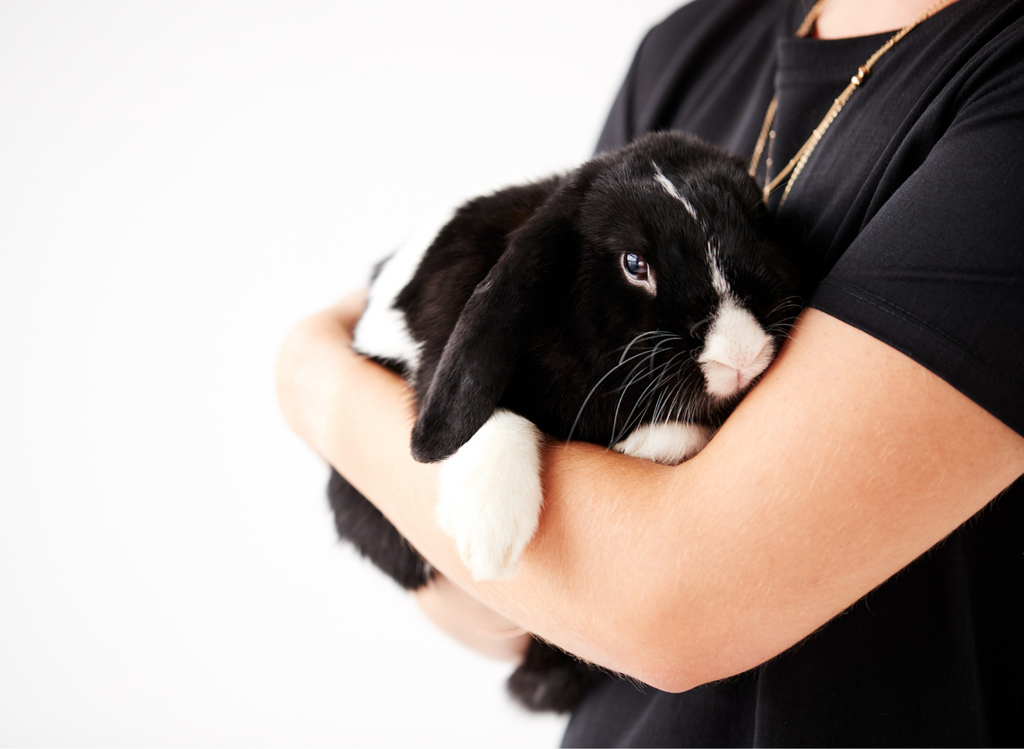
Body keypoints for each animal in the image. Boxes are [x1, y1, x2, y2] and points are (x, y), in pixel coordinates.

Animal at [331, 132, 802, 713]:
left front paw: (650, 444)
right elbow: (487, 413)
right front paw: (489, 534)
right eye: (633, 263)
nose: (741, 355)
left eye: (756, 226)